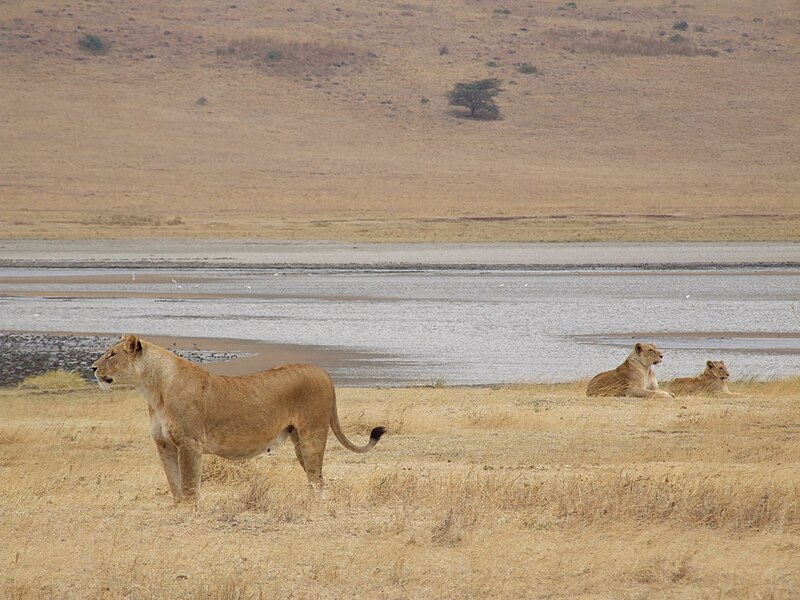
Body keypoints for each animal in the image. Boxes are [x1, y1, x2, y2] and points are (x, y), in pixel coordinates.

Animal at [92, 338, 386, 502]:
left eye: (112, 354)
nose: (93, 367)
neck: (154, 391)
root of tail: (325, 373)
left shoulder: (190, 443)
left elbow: (189, 486)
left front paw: (190, 514)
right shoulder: (163, 445)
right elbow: (174, 484)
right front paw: (177, 511)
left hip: (312, 436)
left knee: (318, 479)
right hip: (299, 442)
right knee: (316, 478)